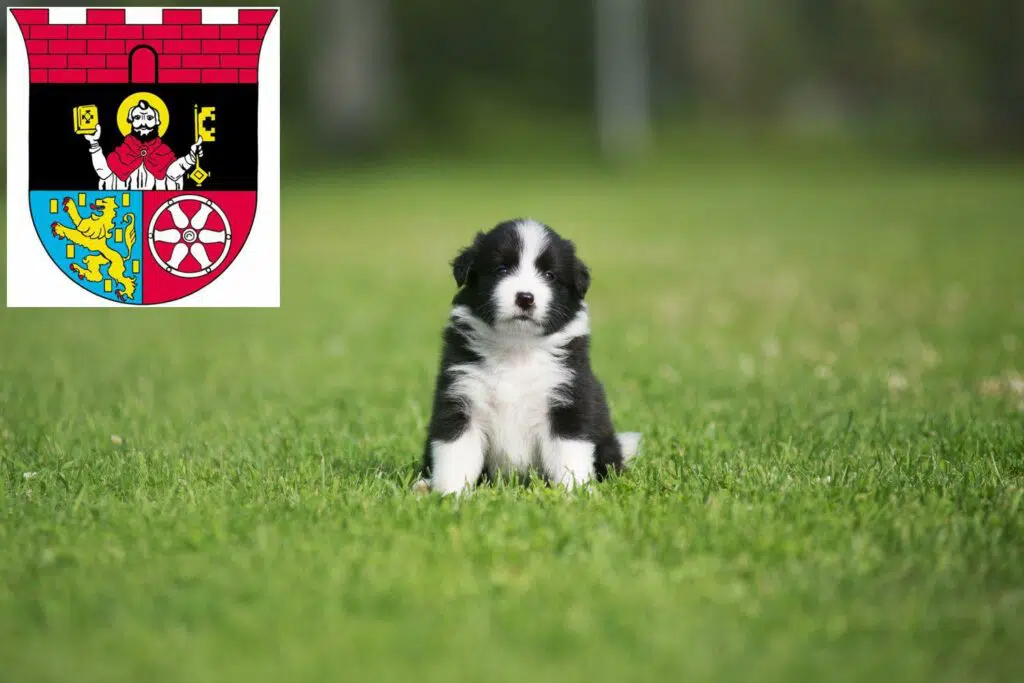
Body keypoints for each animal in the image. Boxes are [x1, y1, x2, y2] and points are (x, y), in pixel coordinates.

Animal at [415, 219, 638, 497]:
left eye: (550, 275)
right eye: (501, 269)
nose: (525, 298)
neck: (517, 348)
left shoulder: (568, 404)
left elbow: (569, 458)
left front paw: (574, 495)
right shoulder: (460, 400)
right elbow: (455, 456)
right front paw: (450, 496)